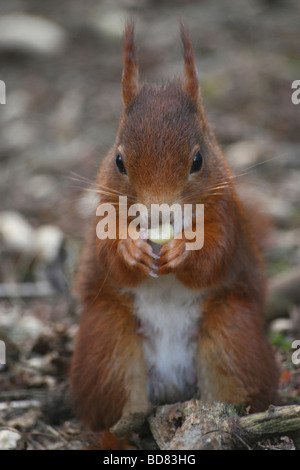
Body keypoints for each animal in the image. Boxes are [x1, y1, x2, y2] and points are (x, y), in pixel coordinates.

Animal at [69, 21, 278, 448]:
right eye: (119, 160)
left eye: (198, 160)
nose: (159, 213)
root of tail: (170, 387)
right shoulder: (102, 212)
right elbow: (106, 254)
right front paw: (129, 250)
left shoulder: (228, 216)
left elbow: (216, 253)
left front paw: (184, 252)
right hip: (108, 346)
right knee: (110, 414)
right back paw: (115, 438)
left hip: (232, 339)